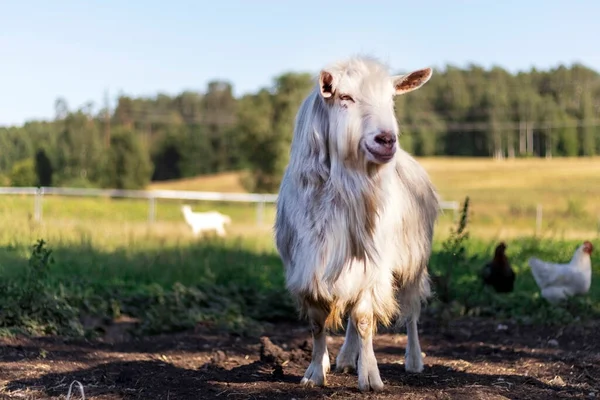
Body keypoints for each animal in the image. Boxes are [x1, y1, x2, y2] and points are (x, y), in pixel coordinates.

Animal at [274, 55, 438, 390]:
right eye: (346, 97)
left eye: (391, 99)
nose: (387, 139)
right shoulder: (306, 266)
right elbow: (318, 324)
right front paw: (315, 372)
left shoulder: (375, 265)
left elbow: (364, 319)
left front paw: (371, 377)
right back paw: (346, 358)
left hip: (413, 261)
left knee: (412, 312)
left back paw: (414, 361)